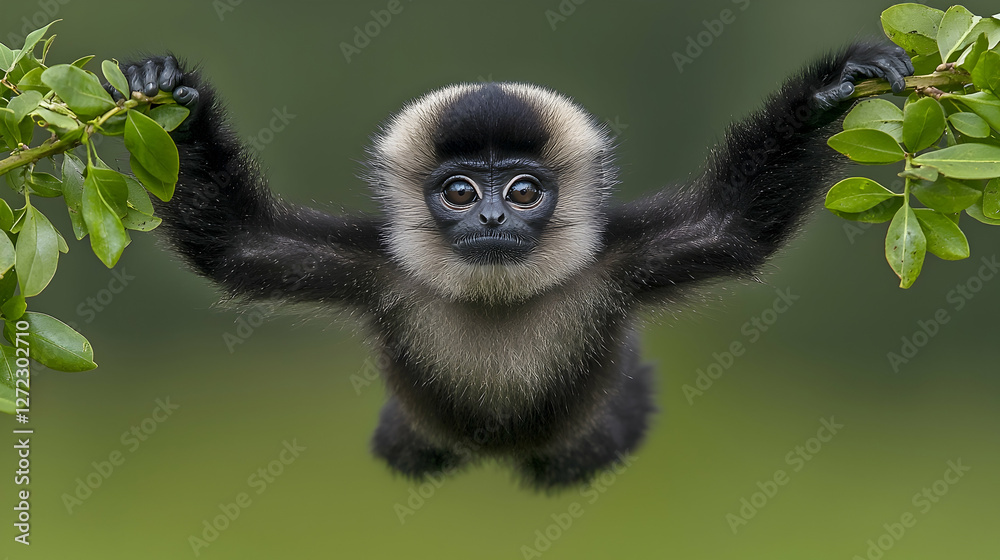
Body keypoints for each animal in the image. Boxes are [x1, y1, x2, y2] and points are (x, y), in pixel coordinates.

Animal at [105, 41, 913, 489]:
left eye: (523, 191)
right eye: (460, 191)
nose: (492, 218)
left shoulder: (618, 260)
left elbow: (733, 224)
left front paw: (830, 91)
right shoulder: (375, 268)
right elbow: (237, 244)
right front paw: (177, 98)